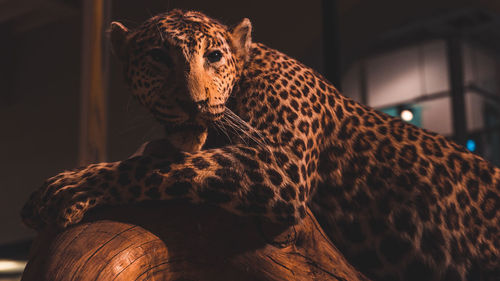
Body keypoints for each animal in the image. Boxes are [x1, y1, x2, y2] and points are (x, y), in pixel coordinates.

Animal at [22, 8, 500, 280]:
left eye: (213, 56)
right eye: (158, 58)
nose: (193, 102)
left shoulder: (280, 165)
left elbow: (156, 169)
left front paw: (67, 188)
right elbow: (162, 158)